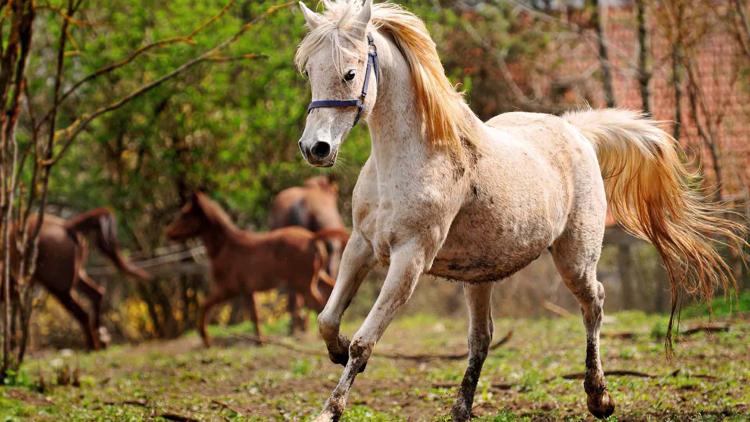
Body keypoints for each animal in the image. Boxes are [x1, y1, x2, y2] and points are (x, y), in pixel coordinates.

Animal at [8, 208, 152, 350]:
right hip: (76, 277)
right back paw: (101, 340)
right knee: (96, 294)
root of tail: (67, 227)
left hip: (60, 288)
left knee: (82, 314)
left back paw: (92, 346)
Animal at [166, 191, 348, 346]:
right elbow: (255, 315)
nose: (168, 233)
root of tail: (312, 237)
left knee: (319, 304)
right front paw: (260, 341)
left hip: (303, 284)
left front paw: (206, 339)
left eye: (185, 215)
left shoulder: (227, 289)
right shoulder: (247, 291)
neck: (226, 247)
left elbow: (204, 305)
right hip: (316, 277)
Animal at [296, 1, 748, 420]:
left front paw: (330, 409)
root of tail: (576, 131)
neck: (412, 157)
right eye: (310, 71)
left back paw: (599, 397)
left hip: (575, 260)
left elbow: (364, 342)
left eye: (350, 73)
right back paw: (461, 408)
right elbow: (327, 320)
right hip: (479, 277)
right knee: (482, 338)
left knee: (595, 304)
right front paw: (335, 352)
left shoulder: (410, 259)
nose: (315, 148)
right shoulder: (361, 246)